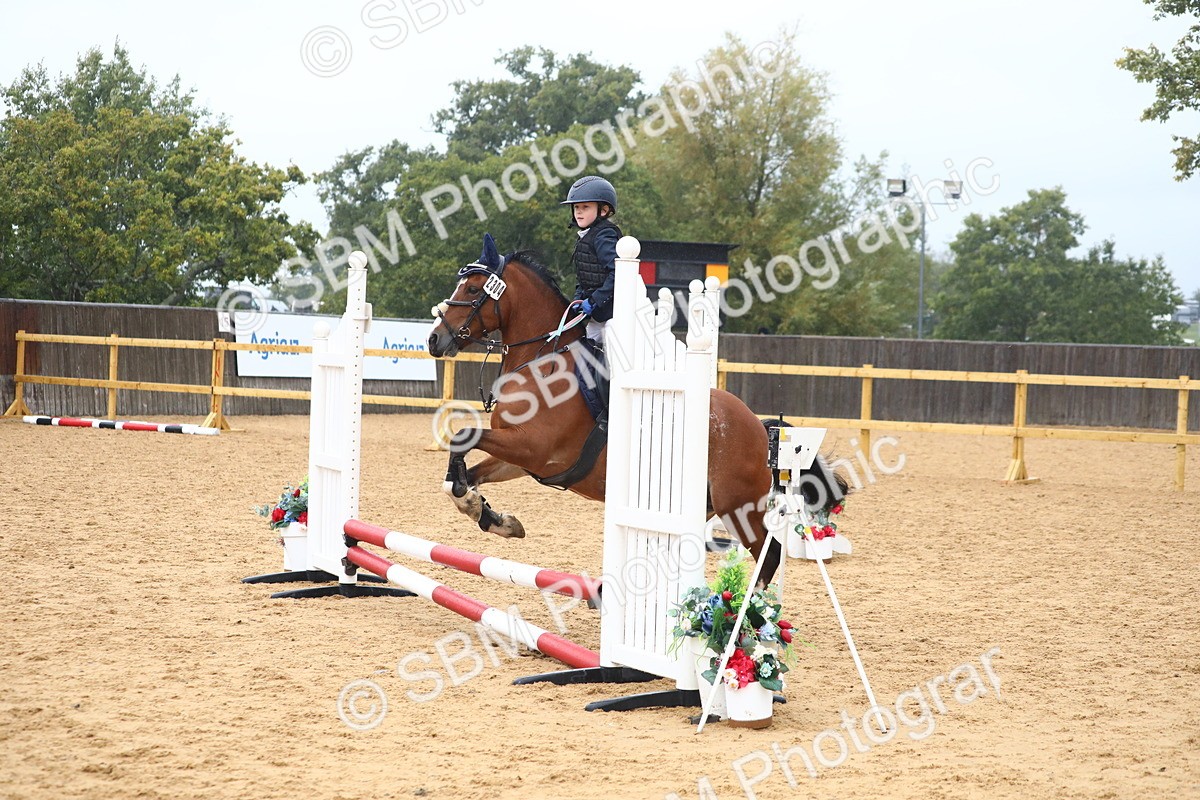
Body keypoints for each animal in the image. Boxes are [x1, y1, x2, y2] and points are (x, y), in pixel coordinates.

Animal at [426, 233, 846, 586]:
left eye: (474, 289)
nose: (434, 339)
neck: (540, 359)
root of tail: (758, 426)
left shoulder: (534, 446)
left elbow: (463, 436)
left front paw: (472, 499)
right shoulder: (522, 457)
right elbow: (468, 473)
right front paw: (492, 516)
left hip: (739, 504)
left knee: (768, 555)